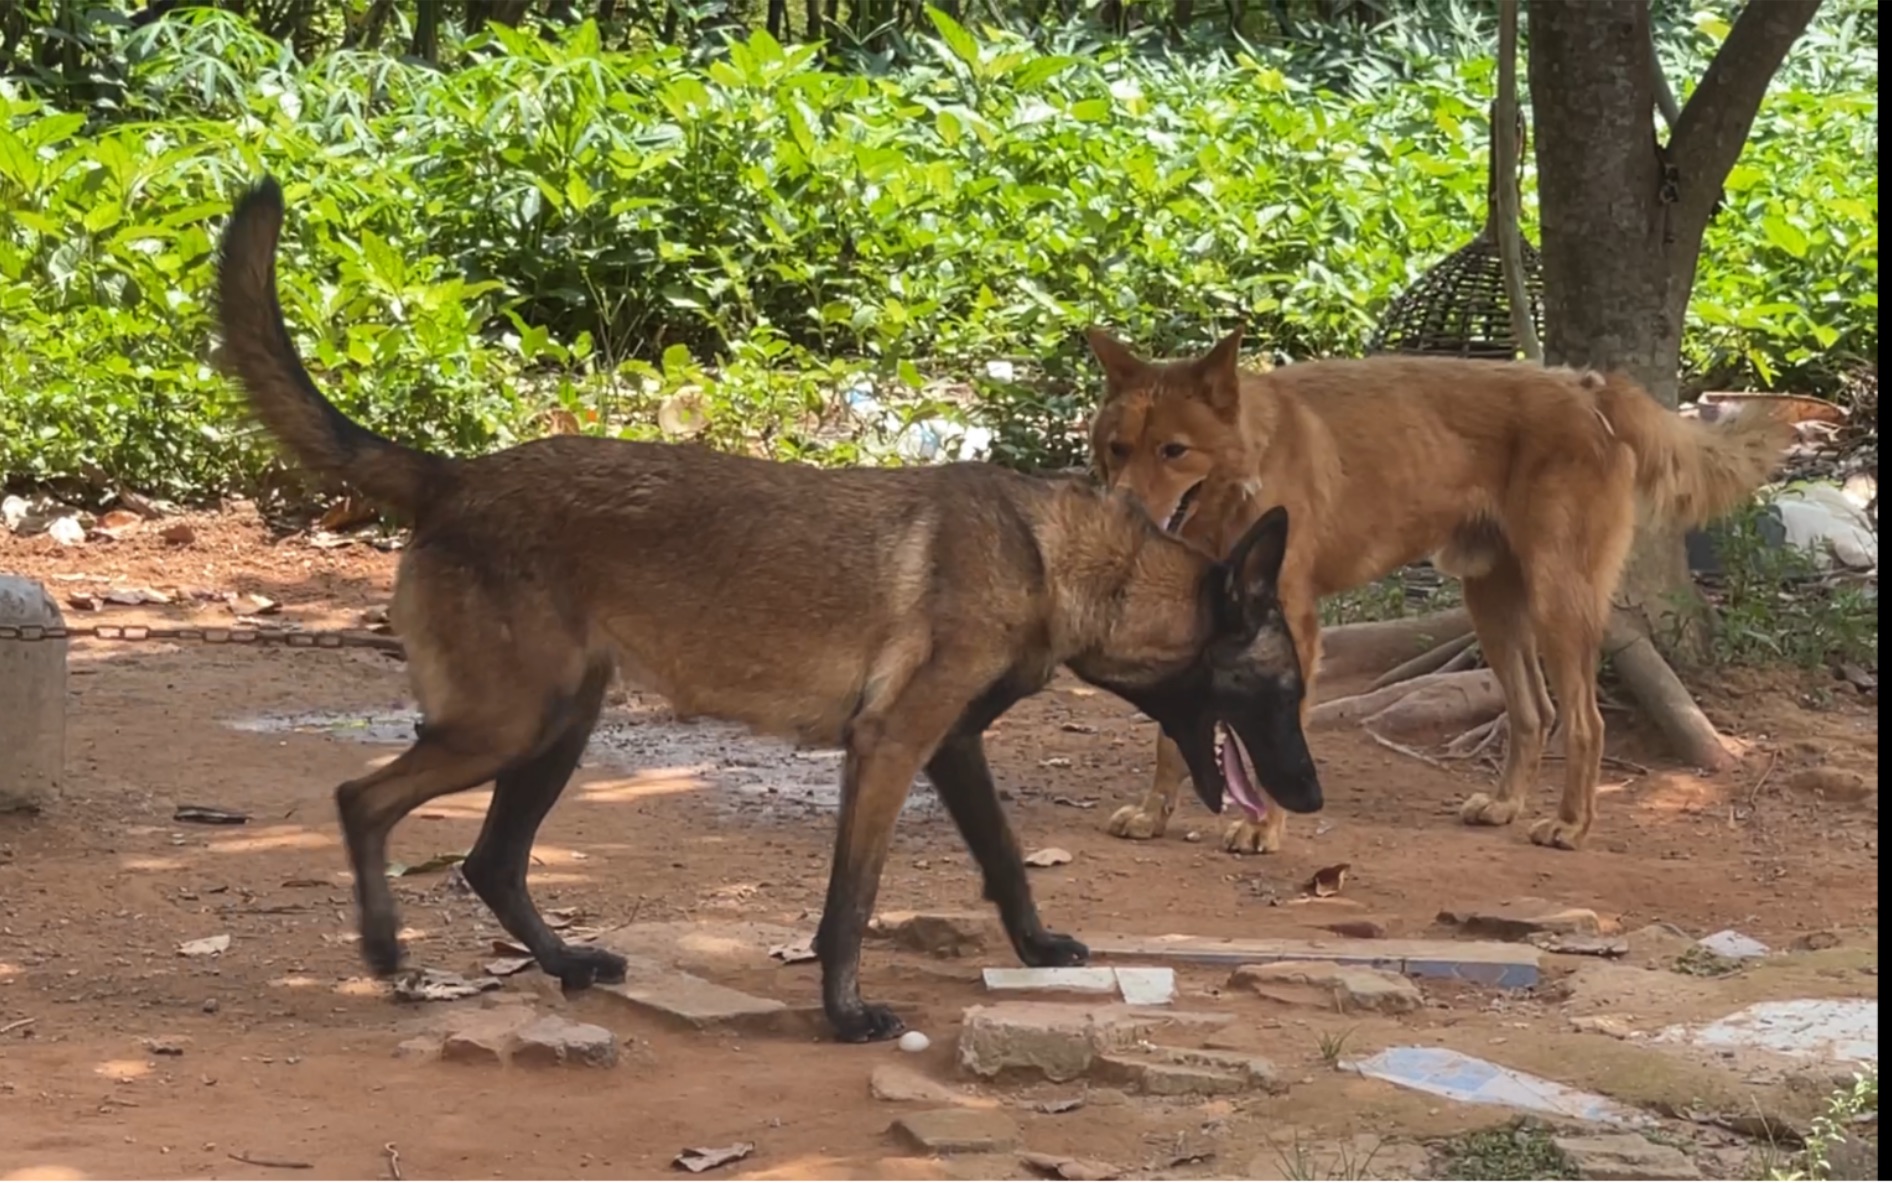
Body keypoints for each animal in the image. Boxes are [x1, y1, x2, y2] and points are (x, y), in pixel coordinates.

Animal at [210, 177, 1331, 1044]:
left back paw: (564, 962)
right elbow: (852, 900)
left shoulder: (949, 746)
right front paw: (844, 1013)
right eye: (1277, 687)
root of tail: (453, 476)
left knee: (489, 861)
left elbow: (1005, 860)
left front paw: (1037, 945)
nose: (1312, 797)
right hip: (508, 725)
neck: (1056, 558)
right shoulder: (887, 747)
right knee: (365, 800)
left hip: (559, 727)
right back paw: (384, 946)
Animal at [1082, 327, 1786, 851]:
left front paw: (1263, 829)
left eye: (1174, 451)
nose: (1117, 510)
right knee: (1536, 713)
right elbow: (1170, 739)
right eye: (1116, 448)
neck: (1249, 470)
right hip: (1491, 605)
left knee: (1585, 722)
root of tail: (1590, 388)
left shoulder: (1294, 628)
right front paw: (1154, 814)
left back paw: (1569, 824)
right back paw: (1504, 805)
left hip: (1558, 602)